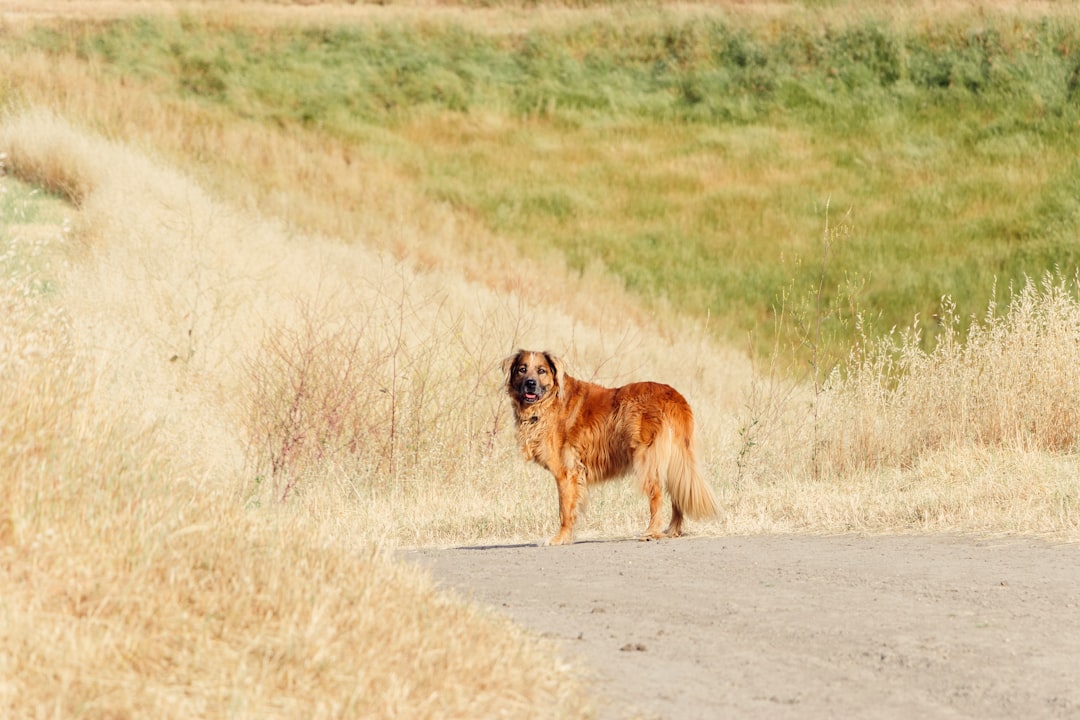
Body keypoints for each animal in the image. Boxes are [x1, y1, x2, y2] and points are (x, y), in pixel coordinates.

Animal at [503, 349, 717, 546]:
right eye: (522, 369)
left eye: (541, 370)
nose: (530, 383)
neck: (549, 401)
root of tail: (673, 396)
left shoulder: (566, 473)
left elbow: (564, 509)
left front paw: (560, 538)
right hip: (675, 459)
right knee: (677, 495)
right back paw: (672, 530)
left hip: (646, 460)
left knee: (657, 496)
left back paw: (651, 532)